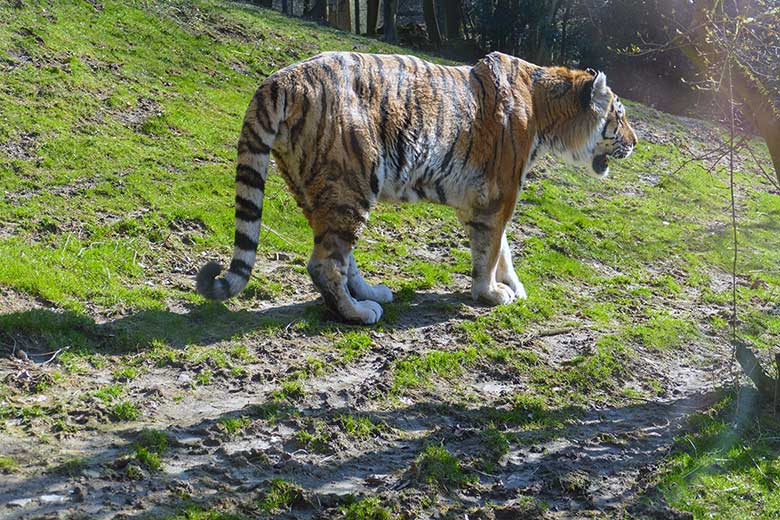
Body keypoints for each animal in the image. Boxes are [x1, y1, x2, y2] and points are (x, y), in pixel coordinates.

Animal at [193, 50, 632, 322]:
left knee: (340, 254)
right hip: (351, 180)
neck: (546, 111)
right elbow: (490, 251)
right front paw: (490, 294)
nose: (637, 141)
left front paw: (513, 287)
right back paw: (358, 313)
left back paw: (369, 294)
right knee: (325, 263)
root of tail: (279, 78)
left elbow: (502, 249)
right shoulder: (498, 195)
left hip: (323, 189)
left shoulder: (481, 200)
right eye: (621, 115)